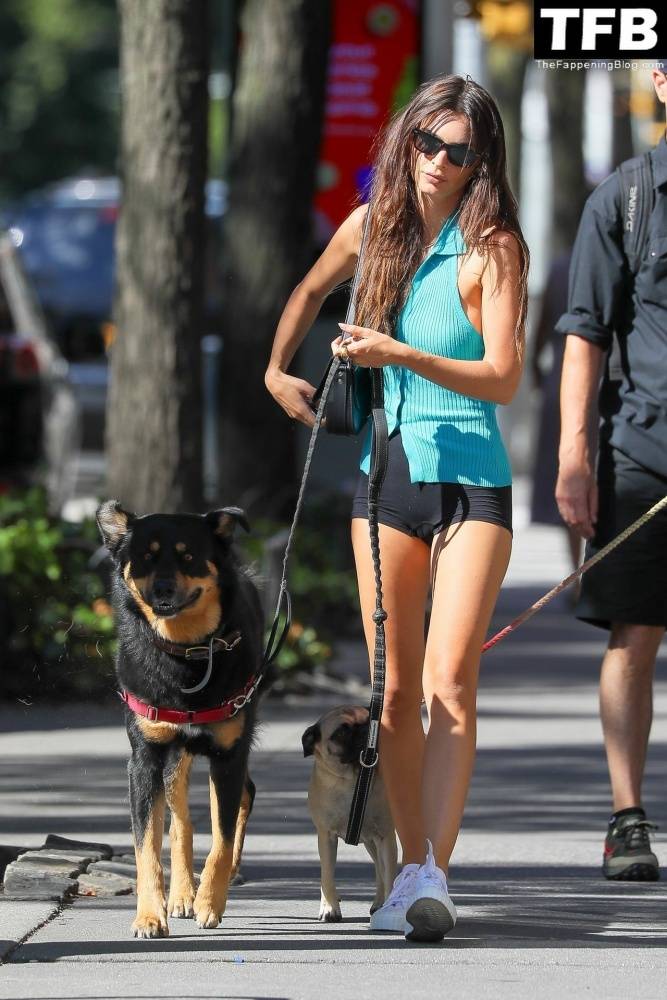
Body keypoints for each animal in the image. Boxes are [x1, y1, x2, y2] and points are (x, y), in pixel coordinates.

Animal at [96, 500, 264, 936]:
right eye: (145, 557)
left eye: (189, 556)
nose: (163, 589)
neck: (186, 651)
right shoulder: (145, 759)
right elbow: (147, 848)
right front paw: (150, 914)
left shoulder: (229, 756)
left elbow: (221, 840)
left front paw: (211, 902)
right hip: (174, 760)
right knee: (181, 821)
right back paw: (183, 893)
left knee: (242, 797)